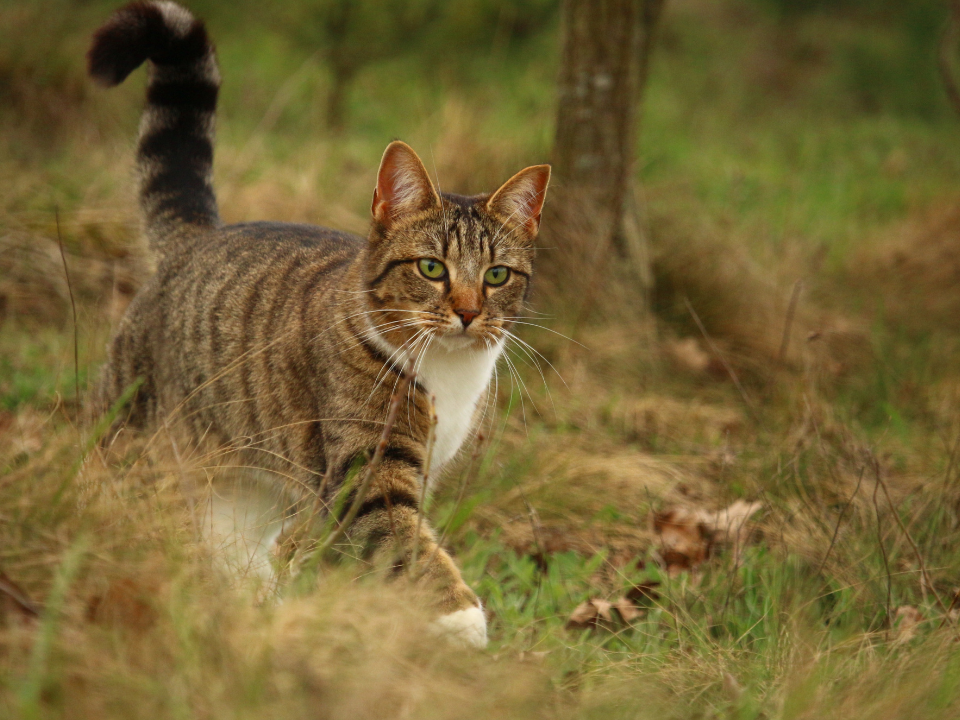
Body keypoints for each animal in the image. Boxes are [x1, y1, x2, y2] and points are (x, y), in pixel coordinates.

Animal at [86, 0, 552, 648]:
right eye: (432, 268)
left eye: (497, 276)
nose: (466, 312)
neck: (449, 372)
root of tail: (198, 237)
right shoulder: (367, 474)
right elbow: (408, 545)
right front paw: (462, 622)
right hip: (130, 424)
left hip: (246, 480)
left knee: (230, 546)